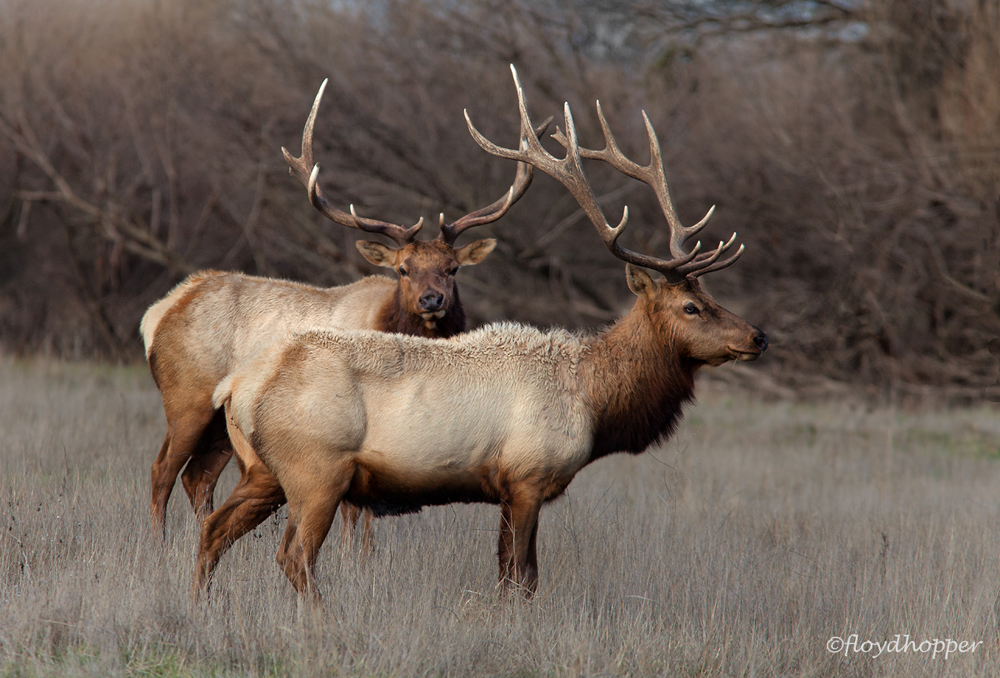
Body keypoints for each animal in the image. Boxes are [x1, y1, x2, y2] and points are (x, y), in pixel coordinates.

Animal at [142, 78, 549, 543]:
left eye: (453, 268)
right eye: (403, 269)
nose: (432, 300)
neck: (388, 321)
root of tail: (159, 312)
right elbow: (357, 516)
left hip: (223, 424)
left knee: (199, 477)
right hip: (186, 395)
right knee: (162, 470)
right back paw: (156, 542)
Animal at [193, 65, 768, 600]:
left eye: (711, 298)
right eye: (692, 307)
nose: (758, 337)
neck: (593, 400)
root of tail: (237, 387)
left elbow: (513, 574)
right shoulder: (527, 476)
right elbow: (519, 577)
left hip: (262, 470)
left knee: (212, 529)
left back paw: (203, 604)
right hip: (316, 469)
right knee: (292, 554)